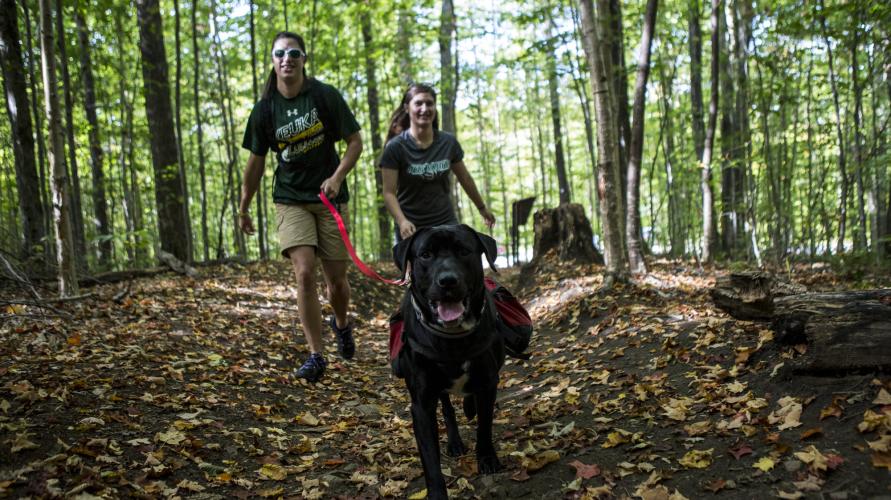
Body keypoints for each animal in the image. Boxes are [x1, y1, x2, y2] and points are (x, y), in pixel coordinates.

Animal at [394, 225, 506, 498]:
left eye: (464, 251)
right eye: (425, 255)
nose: (448, 280)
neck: (453, 337)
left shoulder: (488, 381)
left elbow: (484, 426)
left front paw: (487, 458)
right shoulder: (421, 404)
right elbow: (429, 458)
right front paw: (436, 492)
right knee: (447, 409)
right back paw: (455, 441)